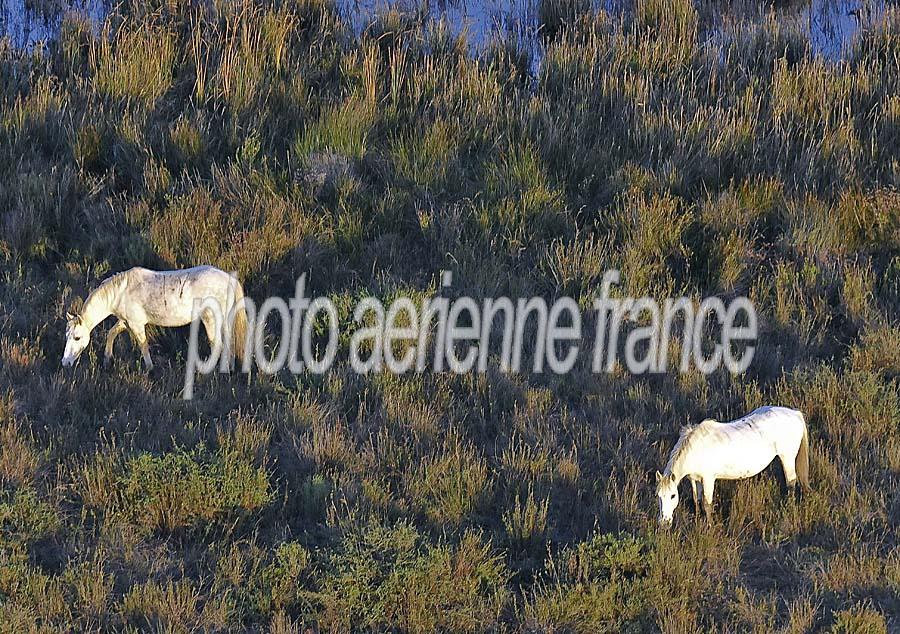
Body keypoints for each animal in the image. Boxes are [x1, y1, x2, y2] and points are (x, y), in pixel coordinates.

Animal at [62, 262, 248, 370]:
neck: (121, 291)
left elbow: (143, 345)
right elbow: (111, 333)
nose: (65, 363)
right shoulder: (126, 321)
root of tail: (229, 279)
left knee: (218, 345)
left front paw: (150, 368)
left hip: (210, 320)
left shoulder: (136, 324)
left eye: (77, 337)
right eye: (67, 336)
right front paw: (108, 359)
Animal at [652, 404, 808, 524]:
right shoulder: (694, 479)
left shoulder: (708, 479)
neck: (696, 448)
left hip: (787, 457)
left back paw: (789, 509)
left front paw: (709, 527)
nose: (664, 523)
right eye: (658, 495)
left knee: (791, 483)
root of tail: (795, 413)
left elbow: (707, 503)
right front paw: (697, 520)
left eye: (673, 496)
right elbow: (697, 499)